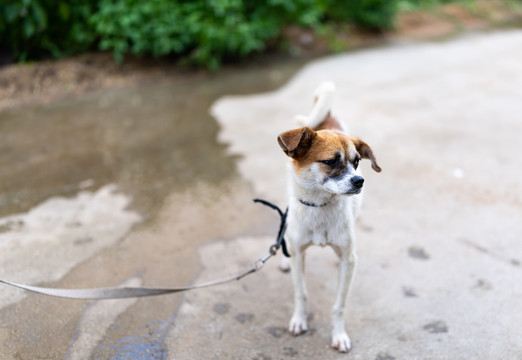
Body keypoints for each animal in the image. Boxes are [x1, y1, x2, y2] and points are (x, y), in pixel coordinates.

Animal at [274, 81, 380, 352]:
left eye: (356, 162)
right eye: (331, 161)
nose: (360, 181)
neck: (320, 206)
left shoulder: (347, 260)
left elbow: (339, 304)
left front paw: (339, 335)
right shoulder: (300, 254)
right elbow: (301, 293)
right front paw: (299, 320)